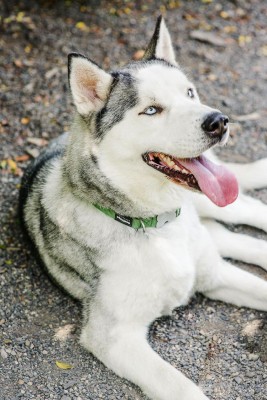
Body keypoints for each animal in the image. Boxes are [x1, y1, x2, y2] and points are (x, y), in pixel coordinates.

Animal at [19, 17, 267, 400]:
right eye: (151, 110)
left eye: (189, 93)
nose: (218, 121)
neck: (155, 223)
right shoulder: (114, 337)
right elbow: (180, 386)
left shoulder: (215, 275)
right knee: (237, 240)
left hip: (220, 206)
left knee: (248, 212)